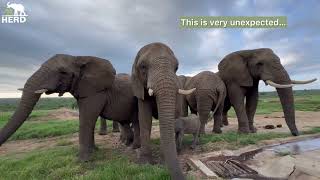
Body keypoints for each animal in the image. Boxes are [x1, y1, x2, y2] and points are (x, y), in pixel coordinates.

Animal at [0, 55, 139, 161]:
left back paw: (134, 147)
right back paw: (127, 144)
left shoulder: (96, 92)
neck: (77, 58)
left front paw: (84, 160)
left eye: (63, 72)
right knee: (125, 122)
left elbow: (87, 119)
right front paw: (94, 152)